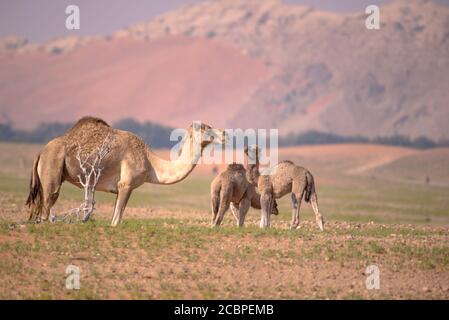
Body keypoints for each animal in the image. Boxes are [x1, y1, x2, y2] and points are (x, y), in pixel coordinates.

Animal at [26, 116, 226, 226]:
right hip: (52, 172)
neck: (150, 163)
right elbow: (116, 222)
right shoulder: (126, 184)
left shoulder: (119, 189)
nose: (224, 133)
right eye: (205, 127)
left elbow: (116, 218)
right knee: (47, 206)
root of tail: (40, 153)